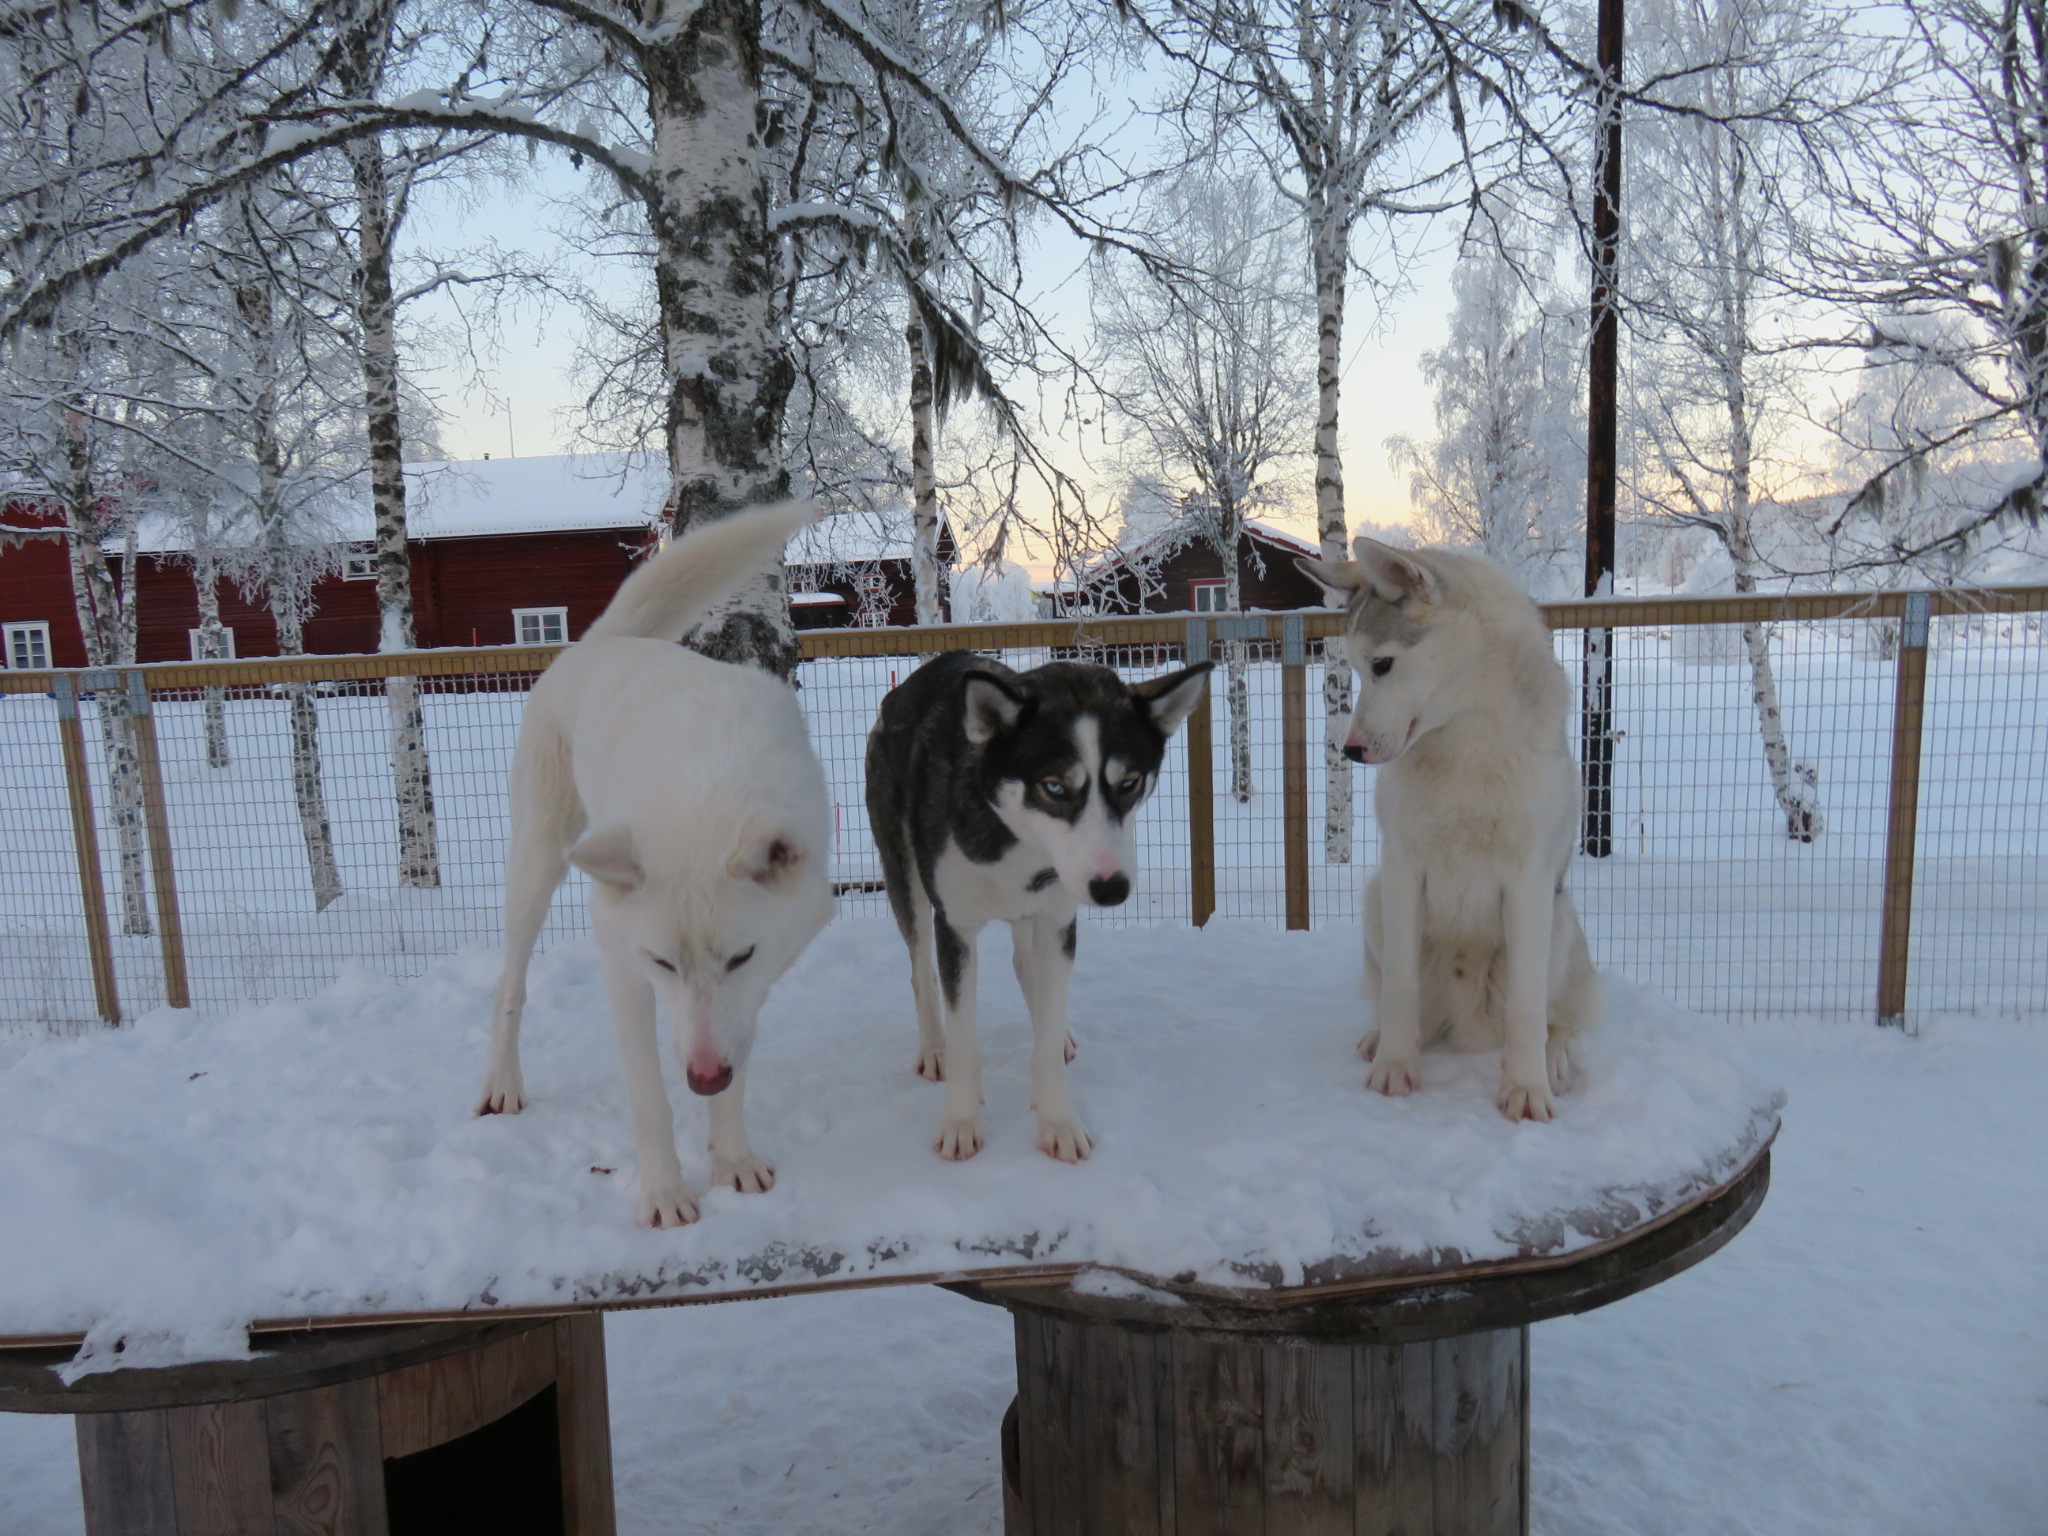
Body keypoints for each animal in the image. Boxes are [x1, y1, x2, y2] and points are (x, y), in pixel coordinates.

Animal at [477, 502, 833, 1226]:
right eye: (663, 963)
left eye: (741, 957)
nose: (703, 1076)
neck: (707, 795)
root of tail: (605, 641)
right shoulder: (625, 969)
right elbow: (650, 1100)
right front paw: (667, 1194)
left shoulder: (758, 978)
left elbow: (736, 1058)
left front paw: (732, 1159)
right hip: (538, 860)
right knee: (509, 986)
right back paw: (502, 1082)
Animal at [866, 653, 1211, 1162]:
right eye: (1055, 787)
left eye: (1129, 782)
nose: (1112, 889)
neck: (1018, 841)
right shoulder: (955, 927)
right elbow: (965, 1038)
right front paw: (961, 1122)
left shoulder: (1056, 922)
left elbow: (1047, 1034)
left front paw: (1057, 1120)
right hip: (905, 876)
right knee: (920, 971)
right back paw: (933, 1049)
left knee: (1024, 965)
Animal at [1298, 537, 1604, 1122]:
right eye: (1355, 670)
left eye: (1383, 664)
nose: (1351, 751)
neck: (1465, 745)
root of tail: (1469, 1027)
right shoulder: (1400, 869)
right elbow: (1399, 988)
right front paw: (1393, 1068)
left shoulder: (1529, 884)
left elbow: (1528, 1008)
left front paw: (1525, 1089)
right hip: (1376, 899)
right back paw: (1379, 1038)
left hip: (1561, 921)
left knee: (1558, 1020)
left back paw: (1553, 1060)